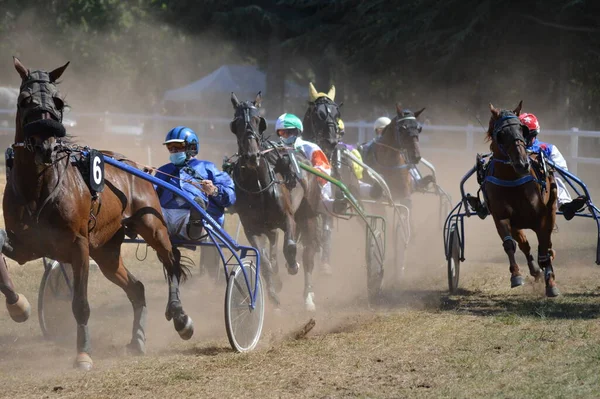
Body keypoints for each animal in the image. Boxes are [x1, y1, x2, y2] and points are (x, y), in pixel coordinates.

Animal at [0, 57, 192, 372]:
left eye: (58, 101)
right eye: (24, 99)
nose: (44, 145)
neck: (40, 187)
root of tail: (132, 164)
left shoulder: (78, 246)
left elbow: (80, 303)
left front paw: (83, 353)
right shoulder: (27, 245)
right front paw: (18, 307)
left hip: (152, 225)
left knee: (171, 261)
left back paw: (180, 316)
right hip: (106, 252)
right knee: (137, 289)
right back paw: (137, 340)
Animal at [227, 91, 322, 312]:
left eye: (257, 120)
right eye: (236, 123)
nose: (252, 156)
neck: (257, 186)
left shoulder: (288, 218)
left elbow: (290, 246)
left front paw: (292, 265)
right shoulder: (252, 228)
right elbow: (264, 262)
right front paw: (273, 295)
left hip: (309, 214)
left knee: (308, 254)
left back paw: (308, 296)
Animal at [482, 103, 556, 296]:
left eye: (521, 130)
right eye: (501, 134)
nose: (523, 164)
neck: (512, 180)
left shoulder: (541, 218)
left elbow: (543, 250)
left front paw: (551, 283)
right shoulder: (501, 217)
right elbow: (510, 245)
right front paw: (516, 275)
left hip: (552, 209)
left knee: (546, 245)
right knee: (524, 245)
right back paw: (535, 271)